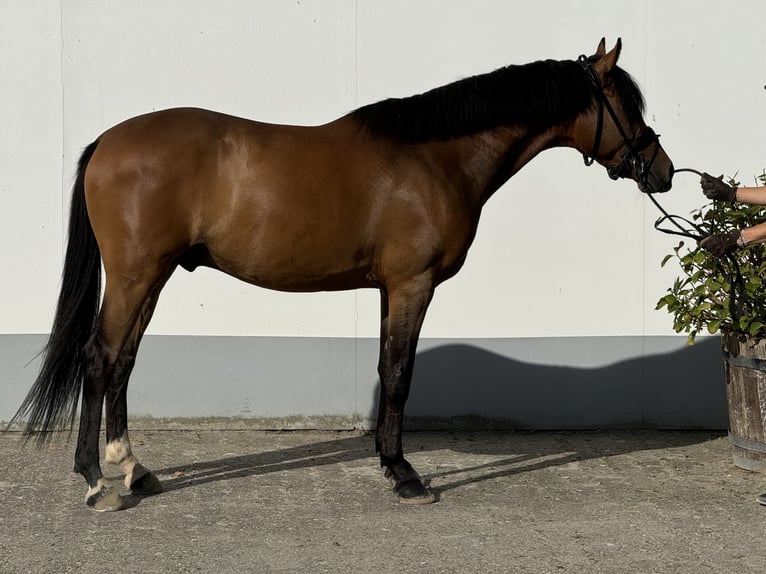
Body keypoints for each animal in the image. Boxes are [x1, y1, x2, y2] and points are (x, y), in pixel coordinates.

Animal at [10, 38, 672, 510]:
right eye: (626, 104)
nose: (663, 170)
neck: (436, 157)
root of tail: (106, 141)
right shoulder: (412, 284)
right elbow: (399, 376)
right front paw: (405, 476)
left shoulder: (389, 288)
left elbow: (386, 368)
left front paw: (388, 461)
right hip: (134, 274)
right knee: (100, 358)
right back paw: (95, 481)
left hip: (153, 275)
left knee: (123, 360)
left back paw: (135, 470)